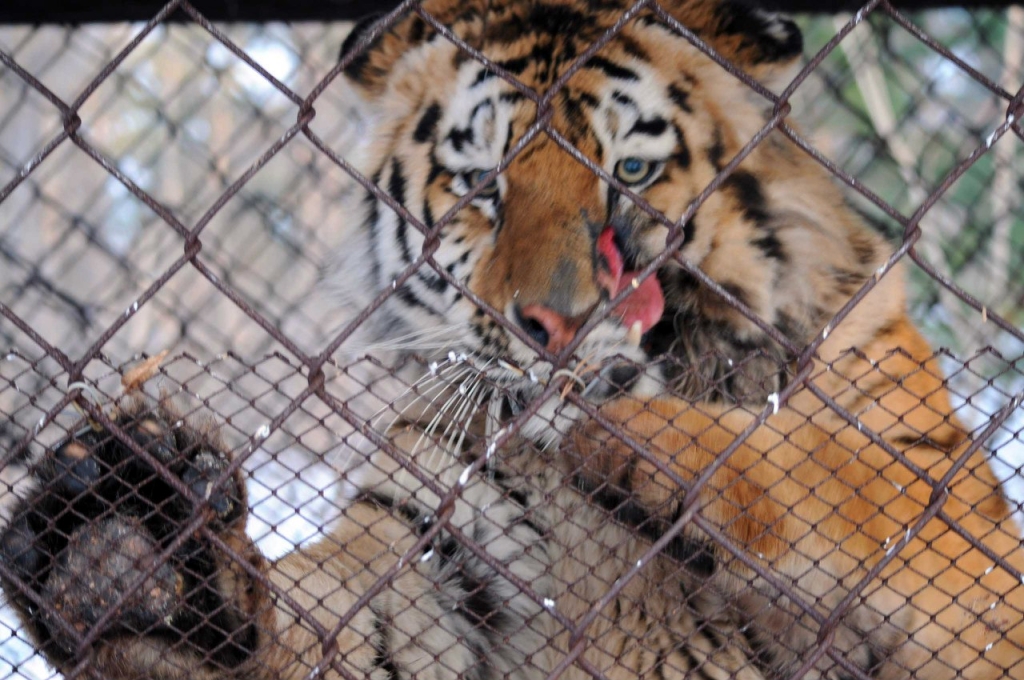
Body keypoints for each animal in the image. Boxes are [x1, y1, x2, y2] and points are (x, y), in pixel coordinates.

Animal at [2, 1, 1022, 679]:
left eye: (632, 171)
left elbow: (849, 473)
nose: (559, 324)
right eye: (480, 185)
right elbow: (327, 612)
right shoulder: (430, 568)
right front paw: (126, 535)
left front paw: (652, 447)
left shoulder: (960, 532)